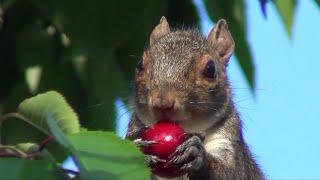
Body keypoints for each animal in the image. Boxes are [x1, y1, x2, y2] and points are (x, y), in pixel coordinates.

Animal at [126, 16, 264, 180]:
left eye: (210, 69)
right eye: (140, 65)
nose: (162, 103)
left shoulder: (227, 140)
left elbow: (229, 173)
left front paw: (196, 154)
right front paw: (136, 146)